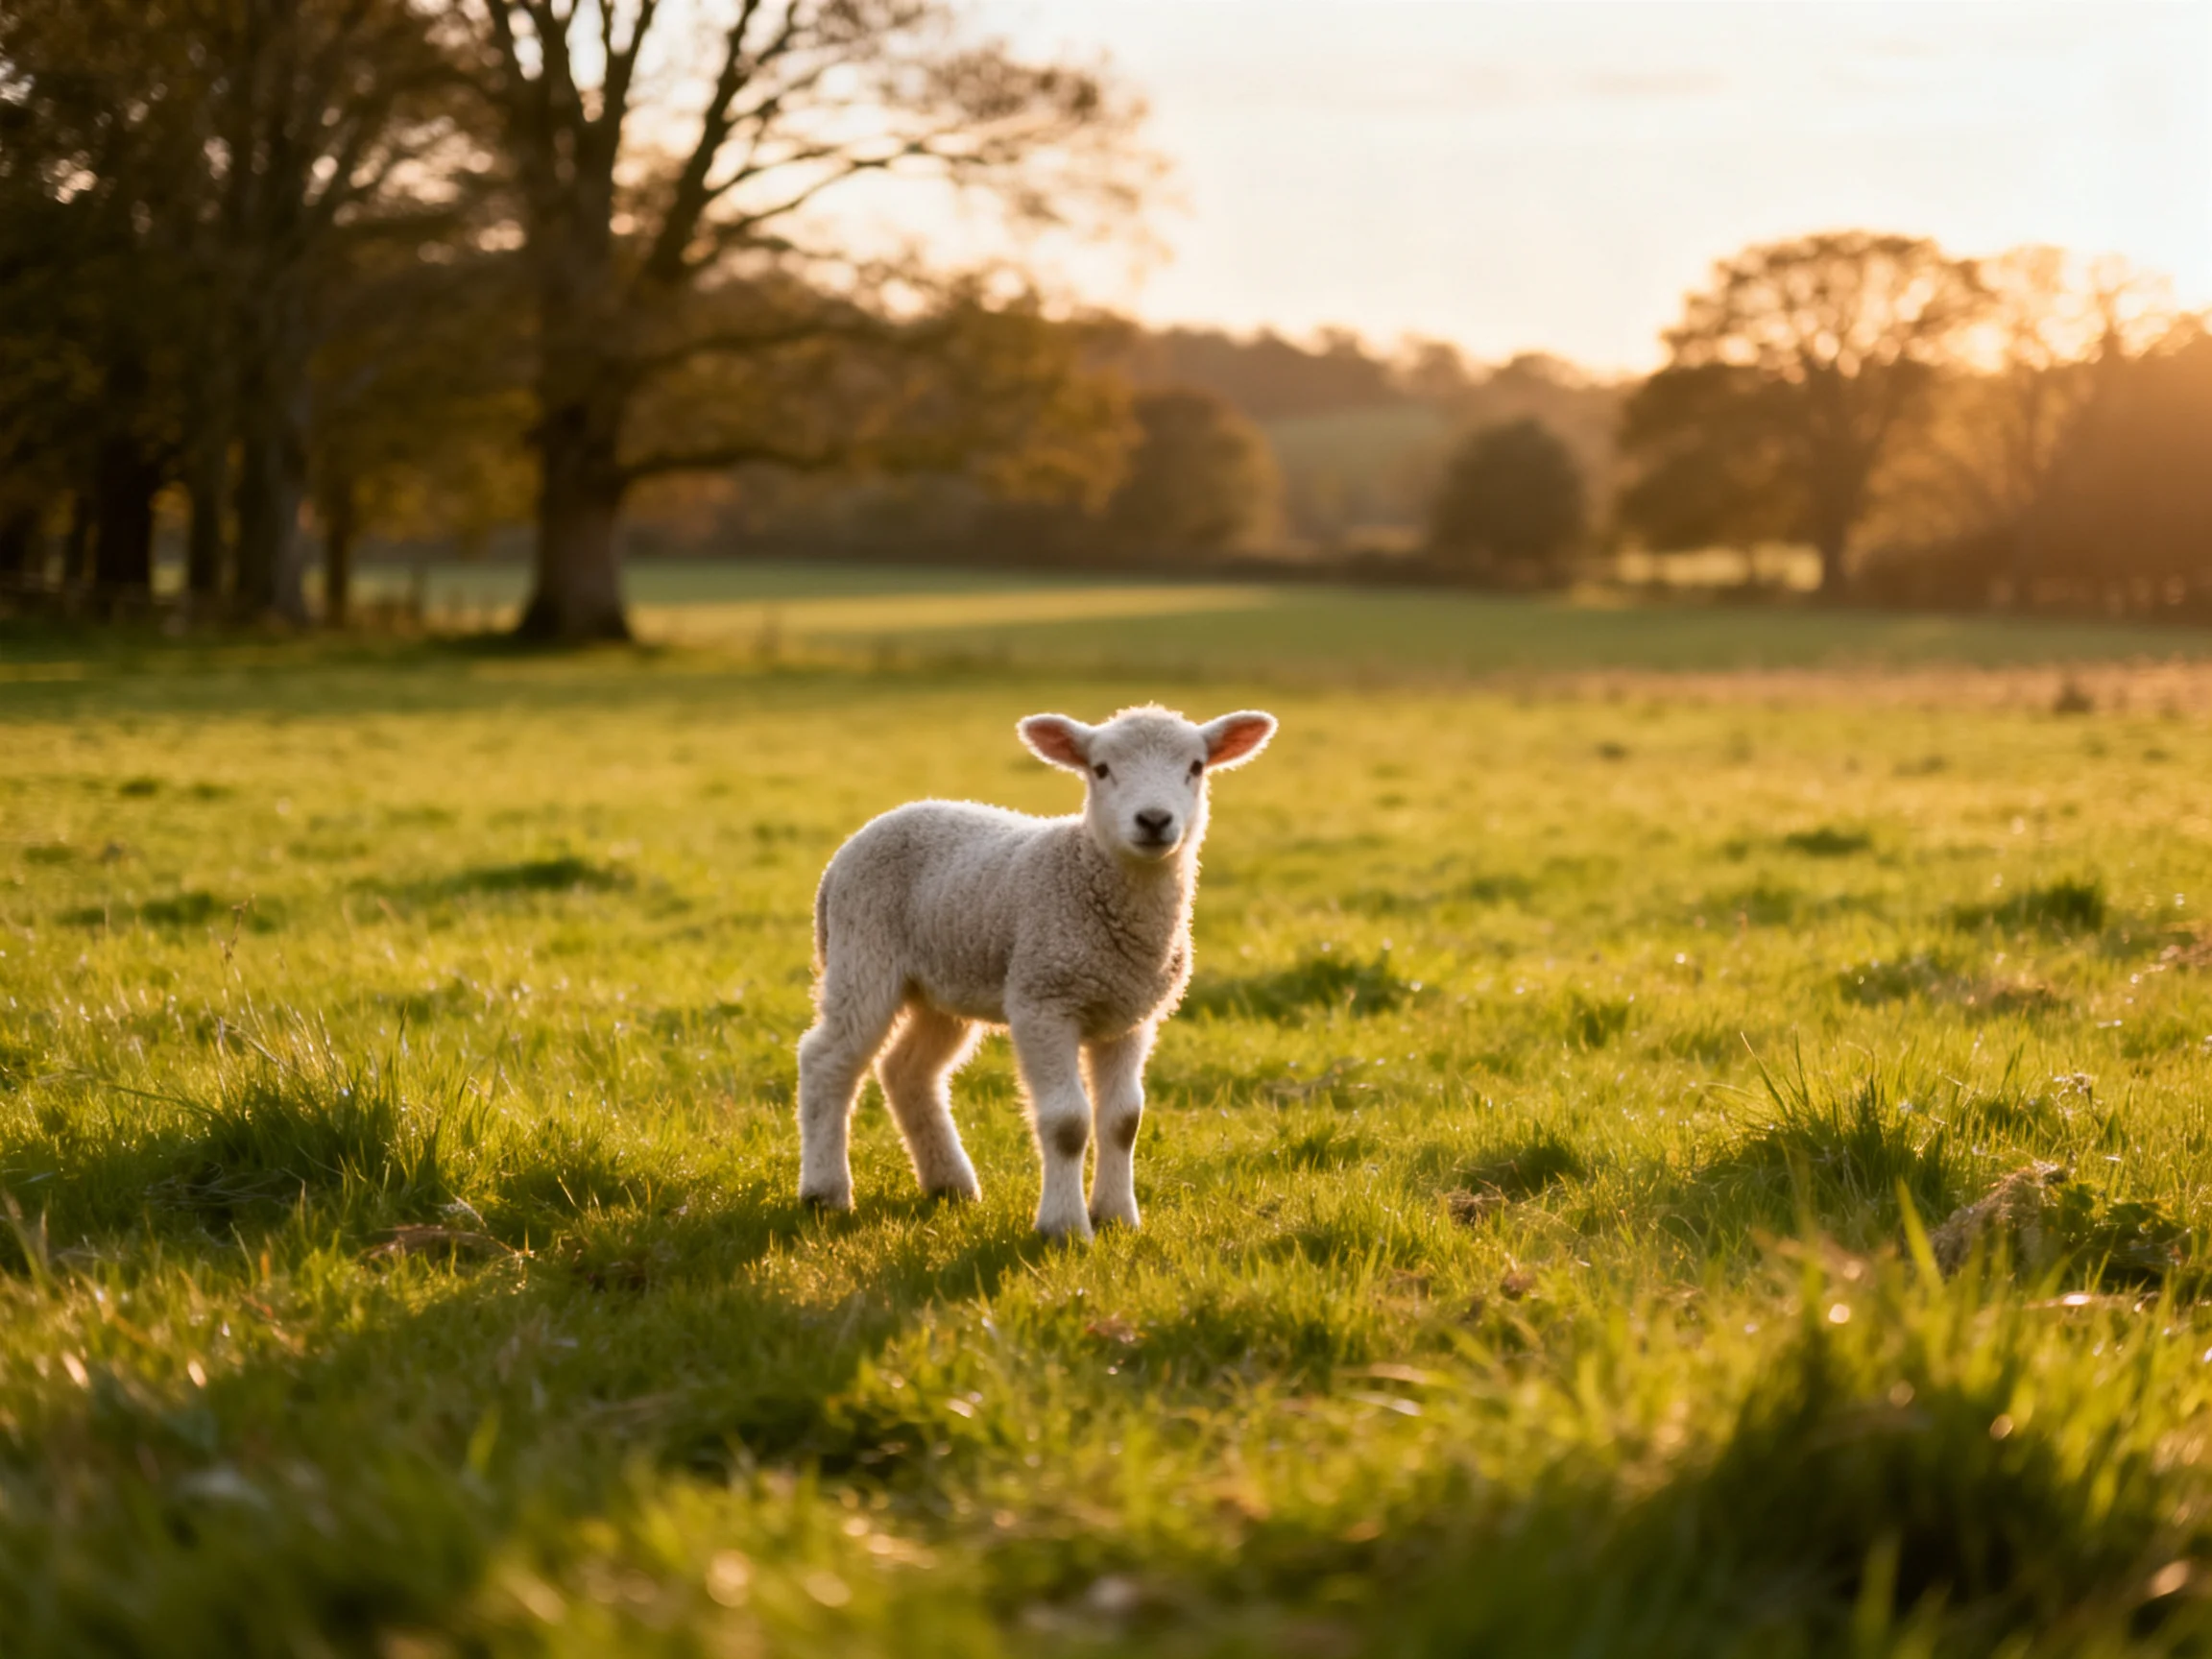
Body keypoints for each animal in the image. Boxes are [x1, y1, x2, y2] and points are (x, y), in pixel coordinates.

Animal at [794, 703, 1278, 1240]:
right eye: (1101, 769)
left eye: (1196, 767)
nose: (1154, 820)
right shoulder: (1043, 1001)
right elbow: (1067, 1122)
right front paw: (1064, 1228)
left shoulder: (1129, 1015)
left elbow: (1123, 1121)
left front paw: (1117, 1217)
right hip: (863, 954)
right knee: (827, 1060)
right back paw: (825, 1191)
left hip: (944, 982)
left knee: (907, 1070)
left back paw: (950, 1184)